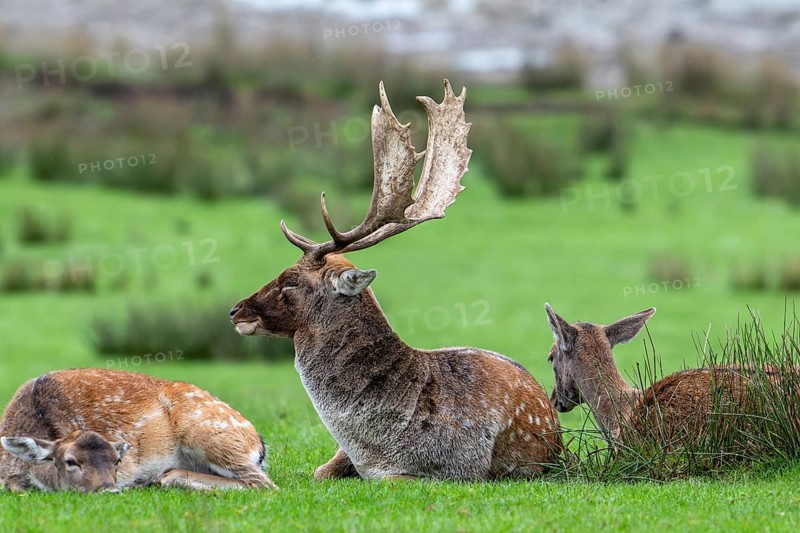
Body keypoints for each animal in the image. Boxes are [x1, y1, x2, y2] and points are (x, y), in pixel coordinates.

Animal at [0, 368, 277, 492]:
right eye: (71, 461)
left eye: (117, 461)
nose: (109, 488)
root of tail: (259, 444)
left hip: (211, 437)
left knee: (263, 483)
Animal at [230, 80, 561, 481]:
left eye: (290, 280)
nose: (236, 310)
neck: (372, 444)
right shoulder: (341, 458)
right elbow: (319, 472)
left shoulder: (455, 469)